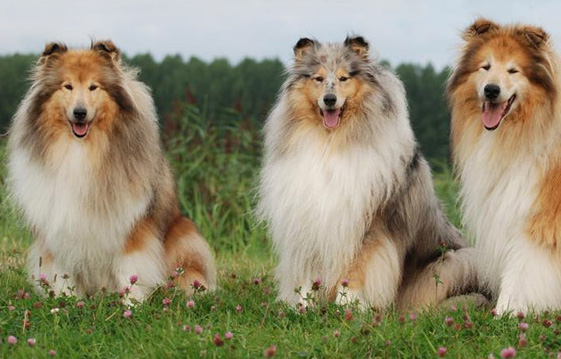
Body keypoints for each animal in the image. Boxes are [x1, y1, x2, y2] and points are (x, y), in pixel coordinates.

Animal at [7, 41, 215, 300]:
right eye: (67, 86)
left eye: (93, 87)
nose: (80, 113)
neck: (81, 149)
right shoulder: (59, 225)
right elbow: (63, 273)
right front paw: (67, 302)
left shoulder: (131, 227)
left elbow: (130, 270)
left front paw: (132, 304)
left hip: (183, 238)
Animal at [258, 35, 476, 308]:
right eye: (318, 78)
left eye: (344, 78)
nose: (329, 99)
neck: (330, 142)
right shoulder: (308, 220)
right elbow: (308, 273)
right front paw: (303, 307)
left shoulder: (369, 224)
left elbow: (356, 271)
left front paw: (348, 308)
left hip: (455, 261)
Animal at [448, 18, 561, 314]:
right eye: (485, 66)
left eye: (513, 70)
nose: (491, 90)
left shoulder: (536, 212)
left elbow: (524, 265)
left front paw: (506, 311)